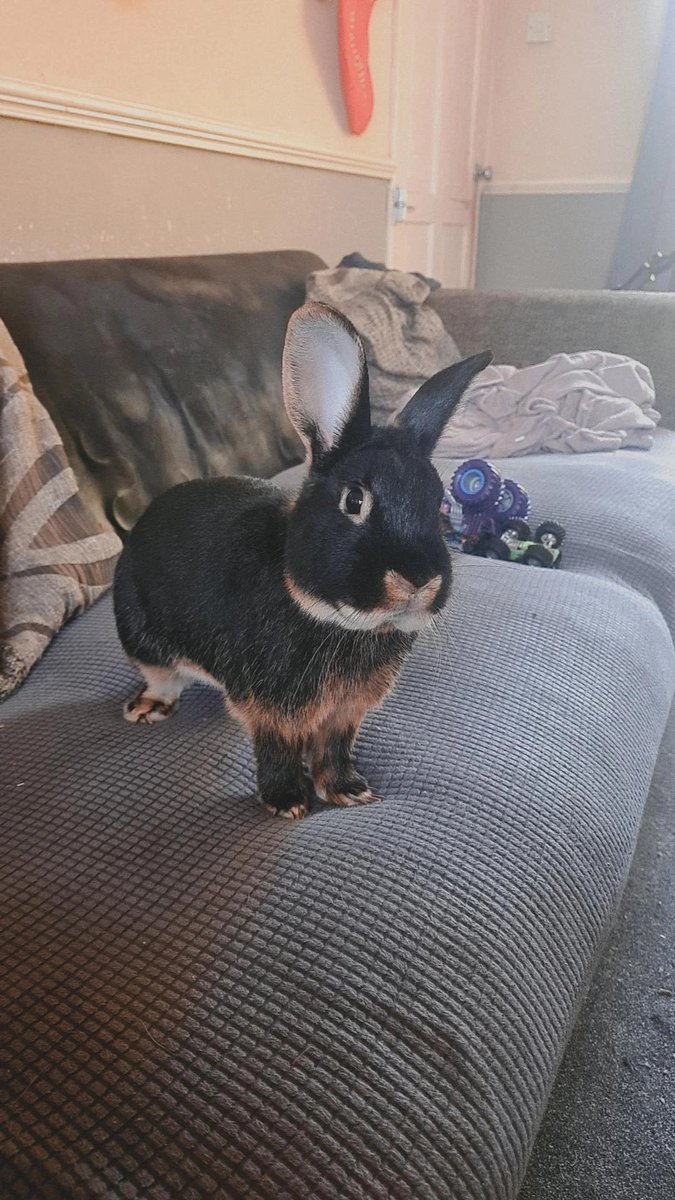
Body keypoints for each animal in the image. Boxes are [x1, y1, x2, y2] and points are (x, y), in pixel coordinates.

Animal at [113, 302, 491, 818]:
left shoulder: (346, 711)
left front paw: (349, 791)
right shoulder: (271, 708)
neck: (340, 623)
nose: (419, 581)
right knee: (161, 675)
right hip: (140, 634)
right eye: (354, 501)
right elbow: (277, 750)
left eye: (438, 504)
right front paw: (287, 802)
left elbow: (334, 748)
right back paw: (148, 709)